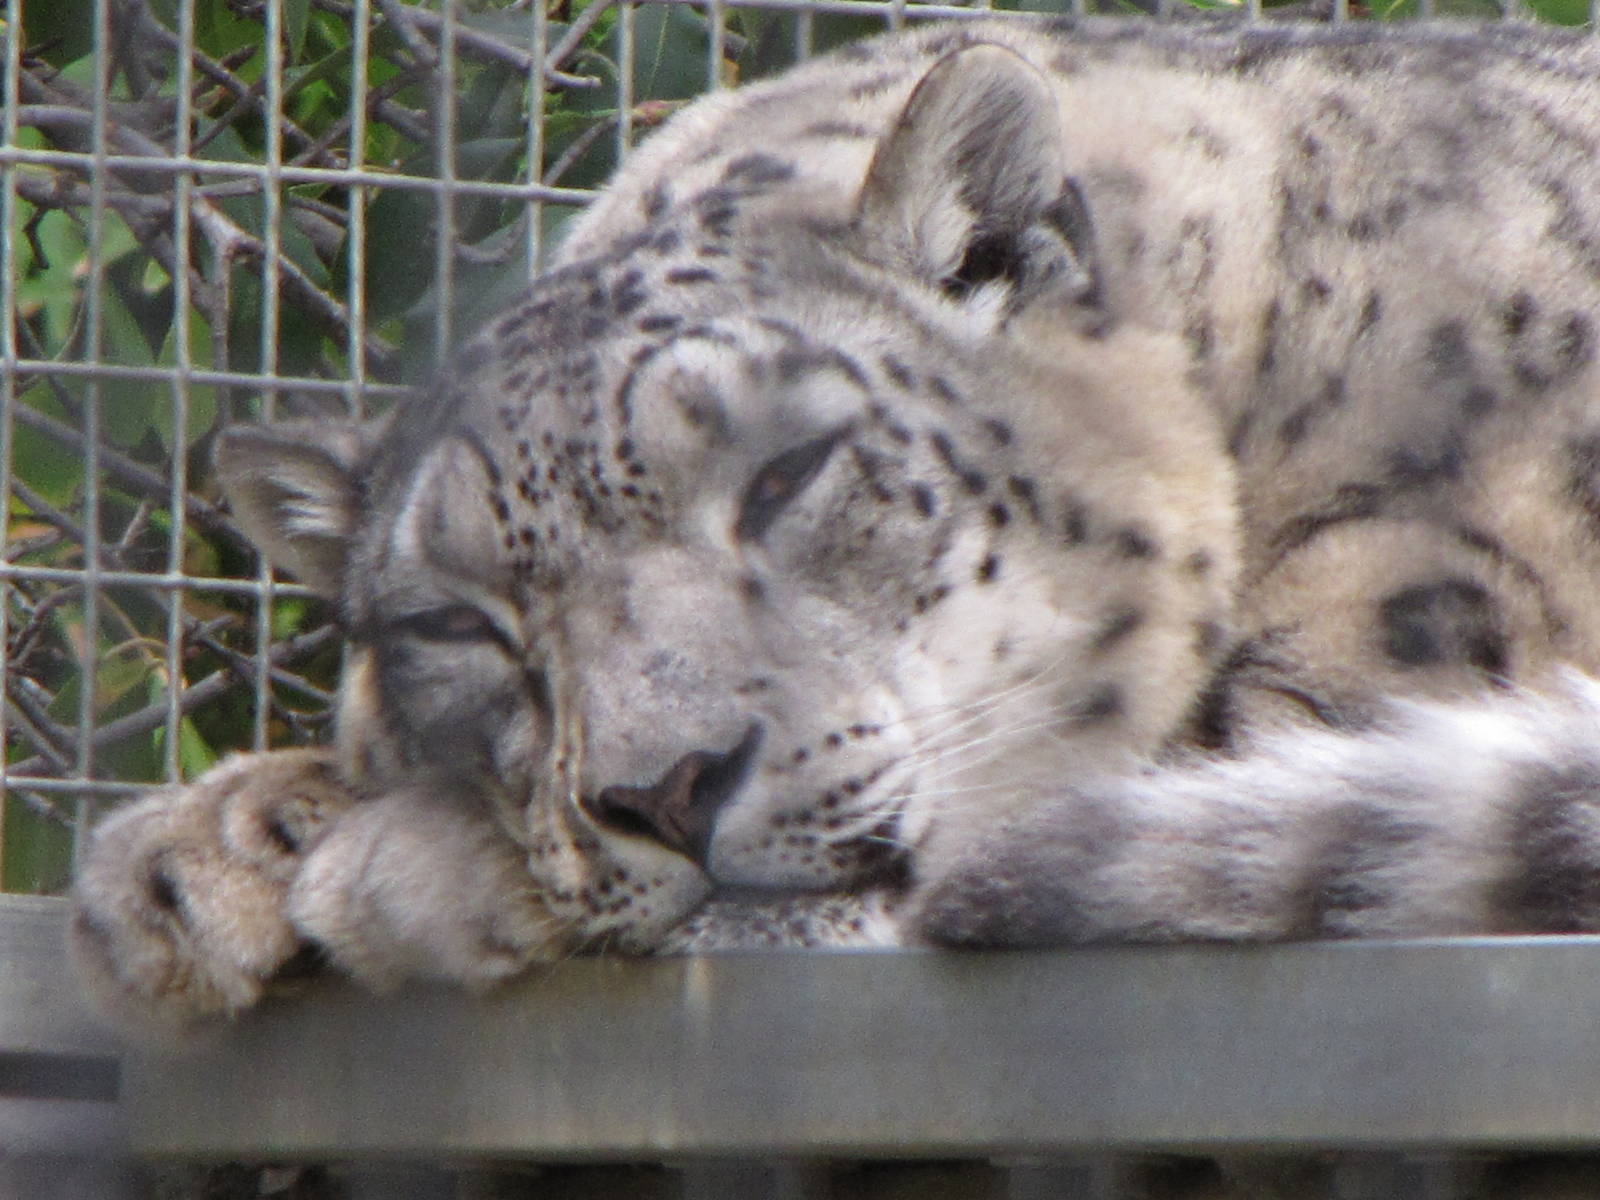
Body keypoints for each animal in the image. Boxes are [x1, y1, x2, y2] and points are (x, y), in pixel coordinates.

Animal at [71, 14, 1600, 1033]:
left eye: (787, 471)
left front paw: (391, 863)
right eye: (451, 621)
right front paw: (201, 854)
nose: (669, 789)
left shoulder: (1391, 644)